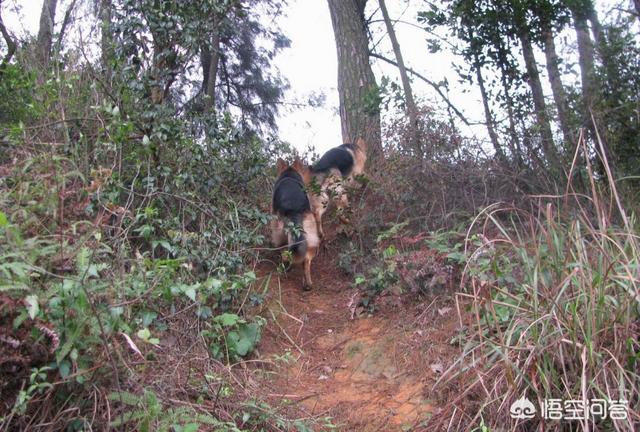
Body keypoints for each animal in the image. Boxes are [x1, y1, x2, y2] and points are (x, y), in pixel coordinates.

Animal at [270, 157, 320, 288]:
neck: (289, 173)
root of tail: (294, 210)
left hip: (279, 231)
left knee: (285, 254)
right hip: (311, 235)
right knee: (306, 260)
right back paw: (307, 284)